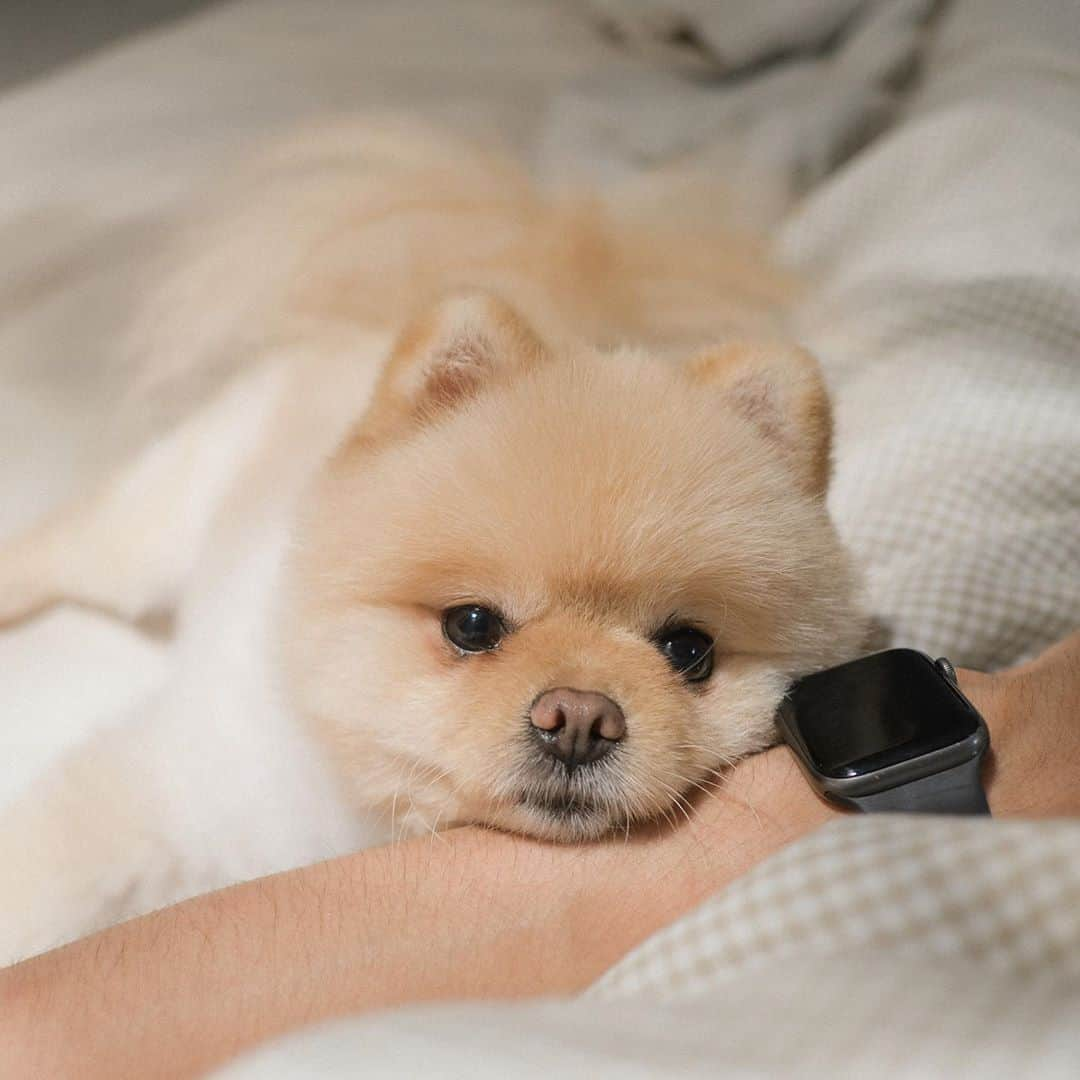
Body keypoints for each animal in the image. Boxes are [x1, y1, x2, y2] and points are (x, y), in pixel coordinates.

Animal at [0, 122, 864, 959]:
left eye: (690, 650)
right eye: (471, 625)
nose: (581, 717)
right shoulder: (171, 788)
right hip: (156, 529)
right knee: (72, 544)